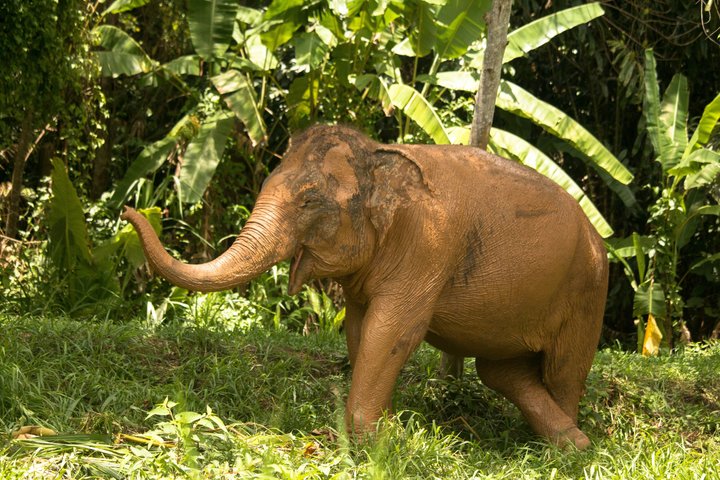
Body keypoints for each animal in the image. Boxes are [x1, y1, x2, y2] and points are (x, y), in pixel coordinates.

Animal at [122, 124, 608, 449]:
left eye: (309, 199)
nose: (129, 210)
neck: (379, 152)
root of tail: (597, 234)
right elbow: (359, 331)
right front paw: (387, 428)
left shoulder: (428, 248)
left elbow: (392, 331)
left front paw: (368, 440)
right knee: (503, 371)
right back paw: (567, 440)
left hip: (588, 289)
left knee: (564, 369)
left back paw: (568, 449)